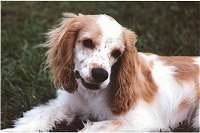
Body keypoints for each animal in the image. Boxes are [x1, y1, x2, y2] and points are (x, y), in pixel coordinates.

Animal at [2, 13, 199, 131]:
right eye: (87, 42)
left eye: (117, 53)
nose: (100, 74)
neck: (91, 95)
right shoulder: (66, 103)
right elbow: (38, 115)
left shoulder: (141, 122)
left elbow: (91, 128)